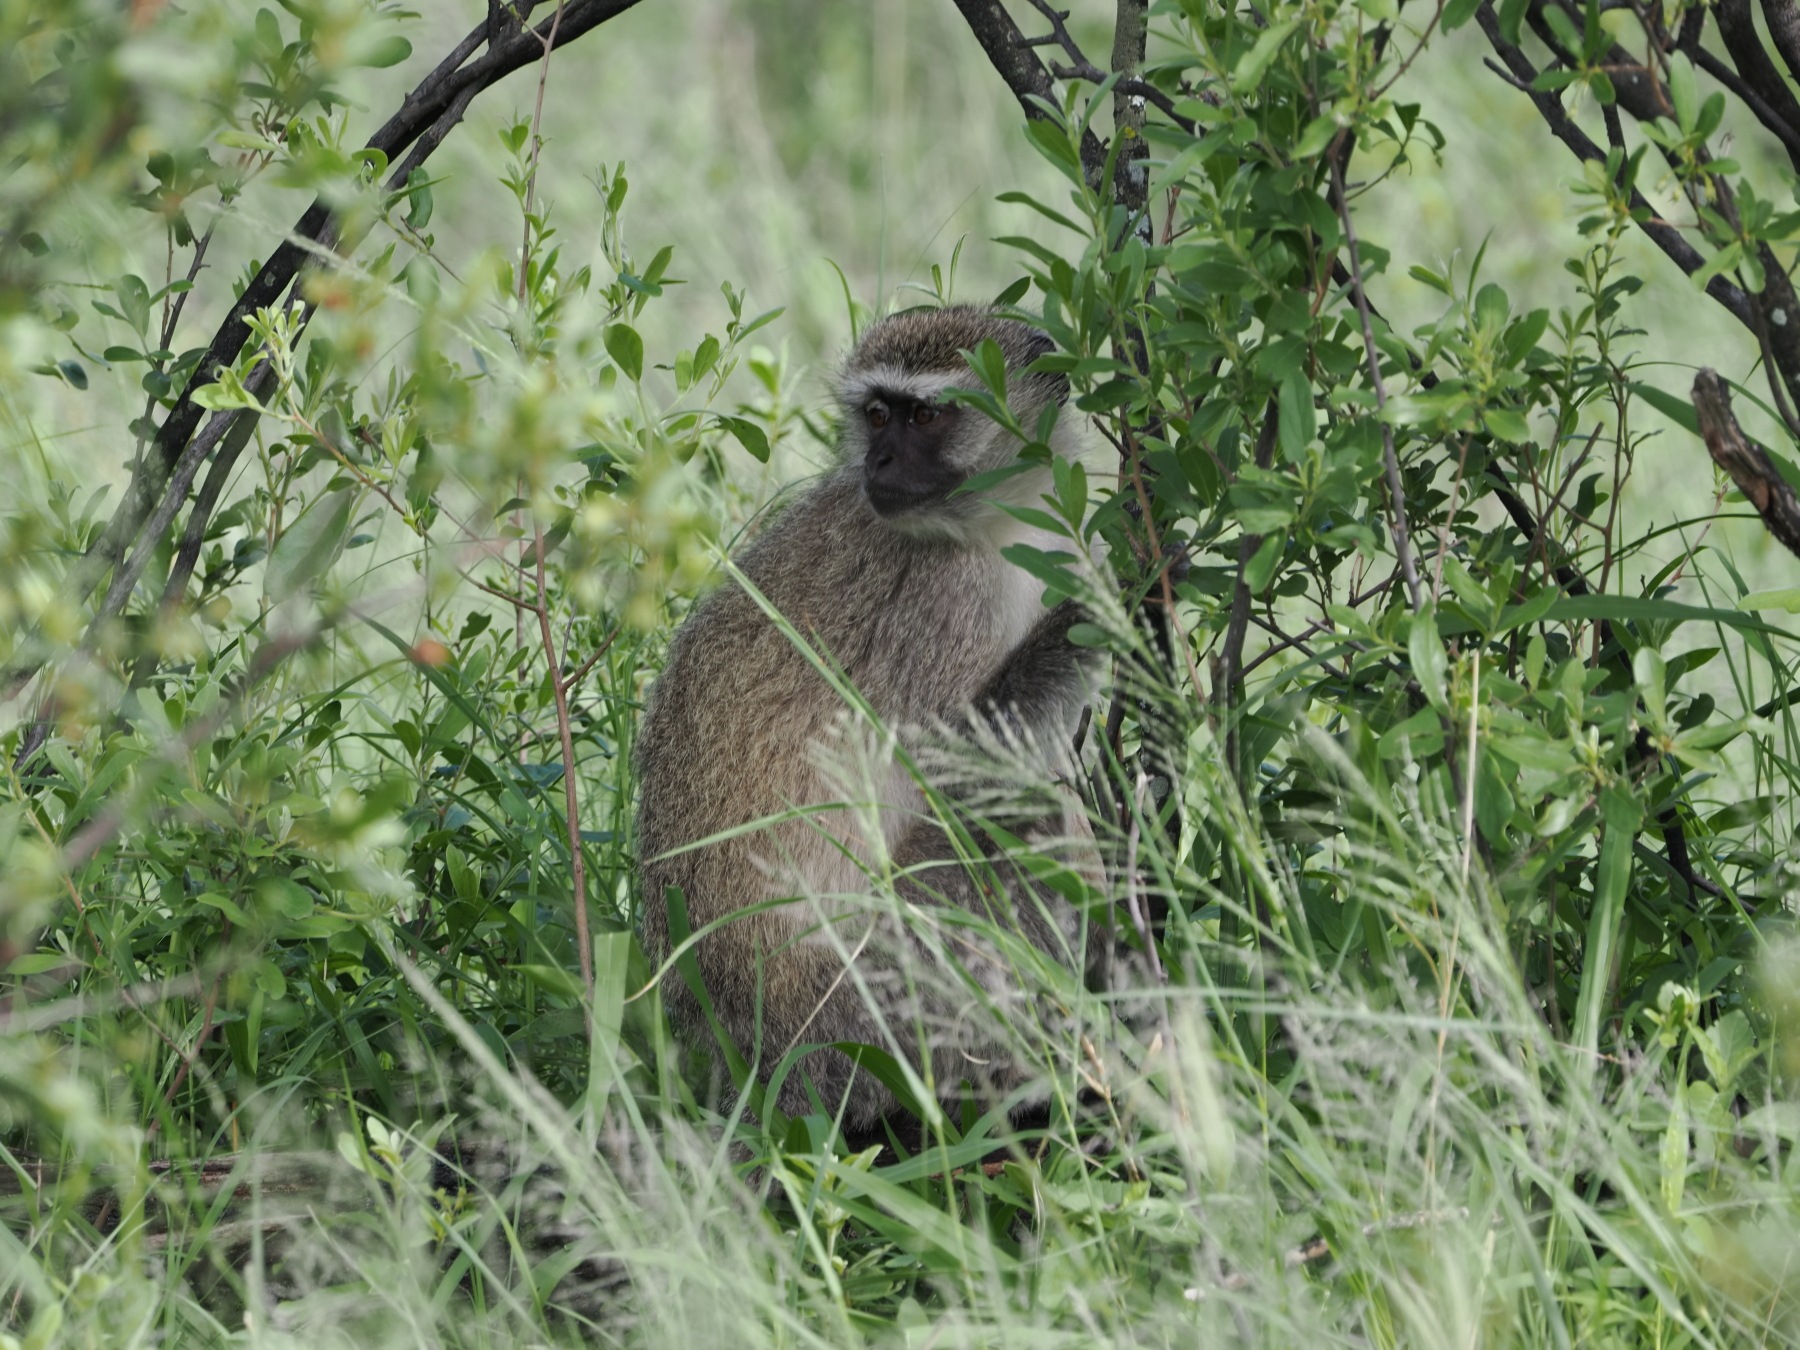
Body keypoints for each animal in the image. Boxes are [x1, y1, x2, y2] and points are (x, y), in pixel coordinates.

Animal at [636, 306, 1103, 1133]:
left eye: (924, 416)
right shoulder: (944, 604)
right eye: (879, 415)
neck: (997, 520)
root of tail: (760, 1054)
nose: (879, 464)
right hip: (881, 1000)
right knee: (1022, 818)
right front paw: (1114, 602)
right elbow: (957, 767)